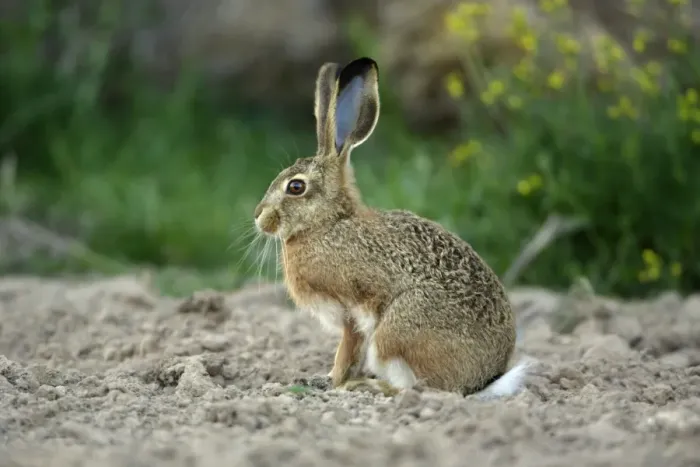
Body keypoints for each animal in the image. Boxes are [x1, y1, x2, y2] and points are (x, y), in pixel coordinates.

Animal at [253, 56, 531, 397]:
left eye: (295, 187)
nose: (259, 217)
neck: (330, 222)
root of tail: (481, 381)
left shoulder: (351, 310)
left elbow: (347, 350)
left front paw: (334, 382)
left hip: (397, 328)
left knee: (420, 389)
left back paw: (367, 386)